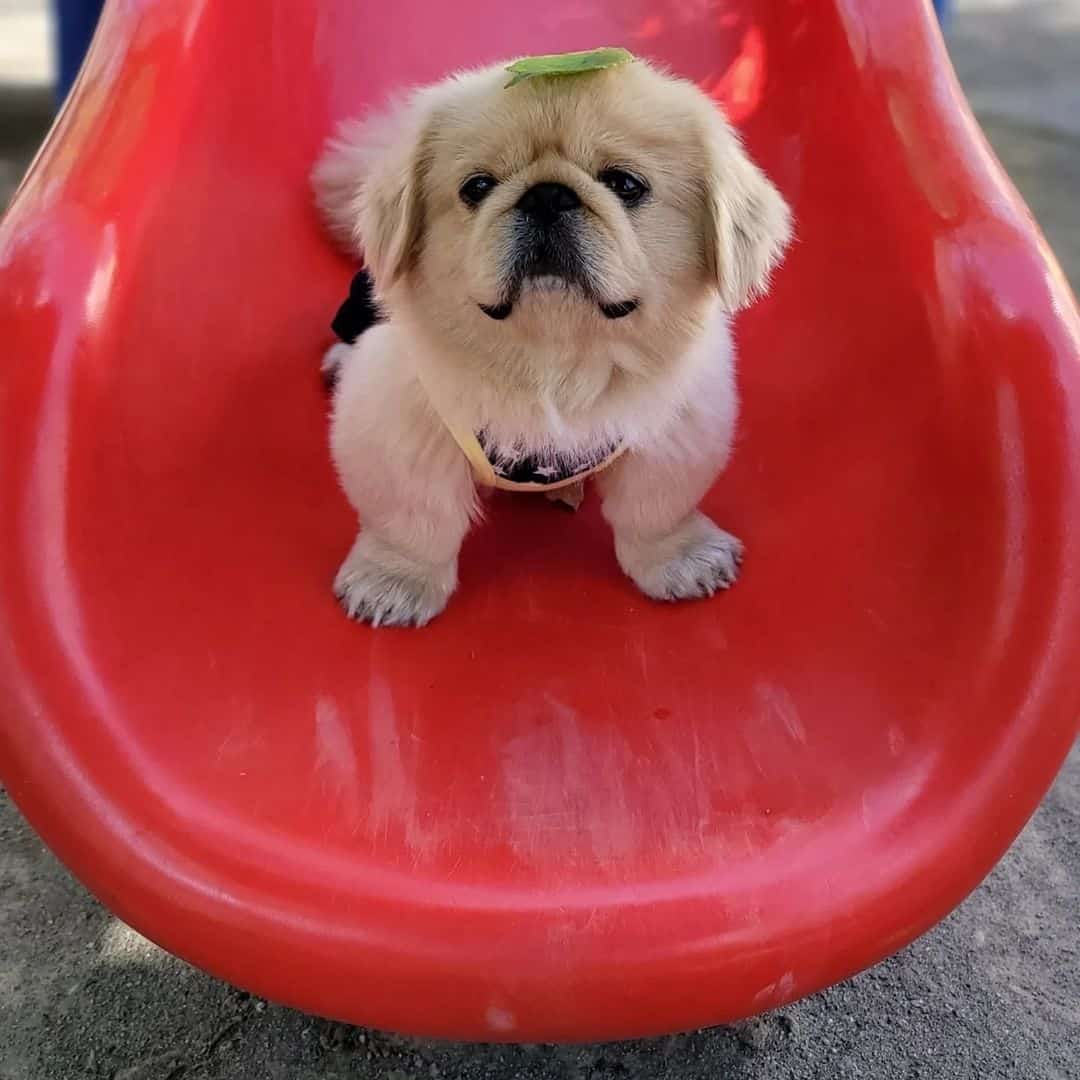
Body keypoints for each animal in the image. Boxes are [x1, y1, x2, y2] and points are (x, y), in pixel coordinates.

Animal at [308, 54, 790, 630]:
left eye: (626, 184)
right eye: (477, 187)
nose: (547, 194)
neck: (554, 357)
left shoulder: (672, 424)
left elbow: (656, 509)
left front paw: (680, 559)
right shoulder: (399, 421)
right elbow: (414, 518)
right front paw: (392, 581)